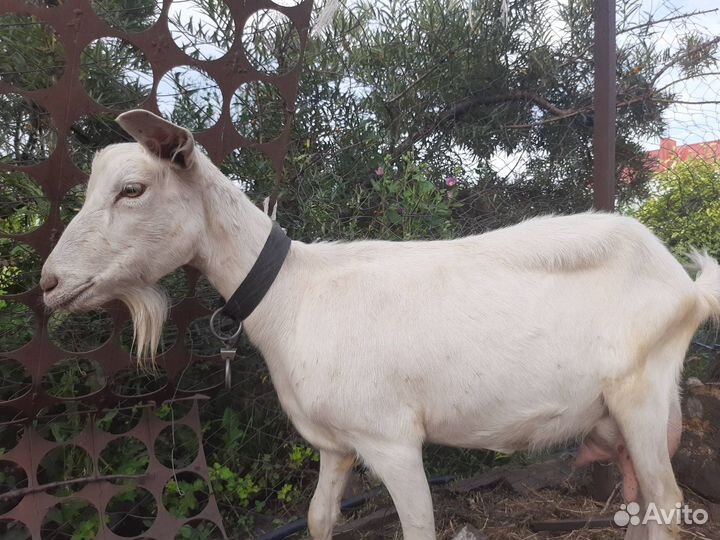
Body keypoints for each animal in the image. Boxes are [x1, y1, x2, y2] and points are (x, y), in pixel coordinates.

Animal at [41, 110, 720, 540]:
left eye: (133, 189)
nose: (49, 282)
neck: (293, 294)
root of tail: (686, 286)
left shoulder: (391, 440)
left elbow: (417, 526)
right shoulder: (335, 443)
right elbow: (320, 519)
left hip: (641, 395)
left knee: (667, 503)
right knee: (641, 502)